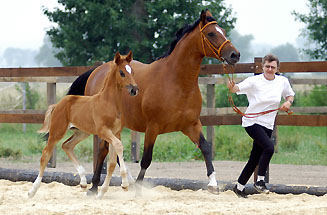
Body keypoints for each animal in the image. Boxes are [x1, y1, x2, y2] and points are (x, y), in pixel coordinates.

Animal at [27, 50, 138, 198]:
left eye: (132, 71)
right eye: (122, 72)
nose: (134, 90)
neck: (108, 102)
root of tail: (58, 104)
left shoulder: (116, 133)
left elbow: (113, 161)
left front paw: (106, 190)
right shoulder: (104, 131)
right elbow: (118, 148)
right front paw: (124, 184)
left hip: (82, 132)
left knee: (67, 145)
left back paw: (84, 181)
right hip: (57, 131)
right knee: (45, 155)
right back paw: (32, 190)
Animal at [68, 8, 241, 195]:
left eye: (223, 31)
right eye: (211, 33)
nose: (235, 55)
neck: (177, 83)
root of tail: (97, 71)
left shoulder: (191, 125)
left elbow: (206, 148)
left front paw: (213, 184)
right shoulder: (152, 127)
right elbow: (146, 159)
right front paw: (139, 189)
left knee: (113, 150)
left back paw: (126, 182)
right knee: (103, 150)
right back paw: (94, 187)